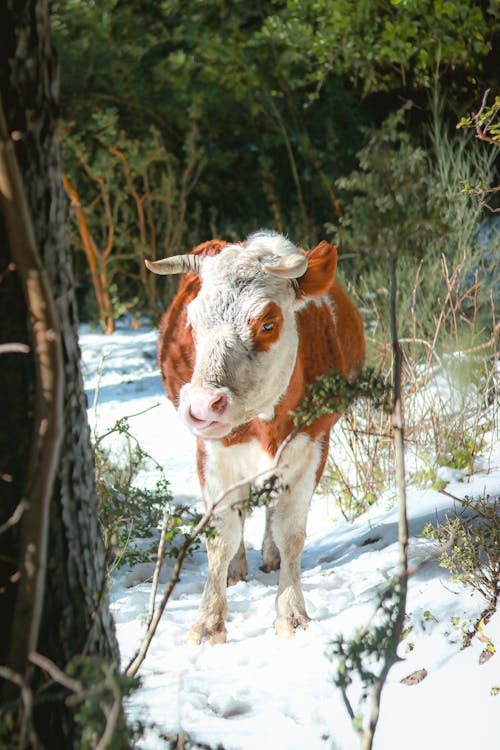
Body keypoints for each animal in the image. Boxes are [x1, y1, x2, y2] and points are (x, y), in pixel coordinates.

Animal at [146, 231, 366, 648]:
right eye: (192, 322)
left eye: (267, 323)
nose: (202, 405)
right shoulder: (213, 453)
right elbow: (221, 536)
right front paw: (208, 621)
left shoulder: (313, 444)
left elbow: (290, 532)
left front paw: (292, 612)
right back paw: (237, 567)